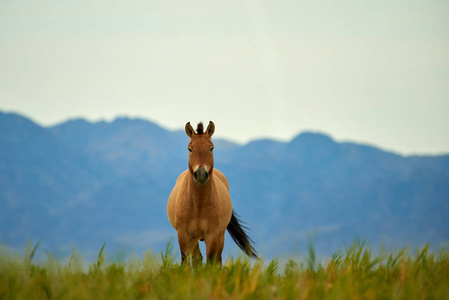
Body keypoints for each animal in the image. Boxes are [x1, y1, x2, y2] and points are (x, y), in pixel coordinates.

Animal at [167, 120, 260, 266]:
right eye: (190, 148)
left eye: (211, 148)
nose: (200, 174)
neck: (198, 204)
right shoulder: (184, 235)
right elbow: (186, 262)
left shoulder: (212, 235)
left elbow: (210, 262)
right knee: (197, 259)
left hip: (220, 236)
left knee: (217, 260)